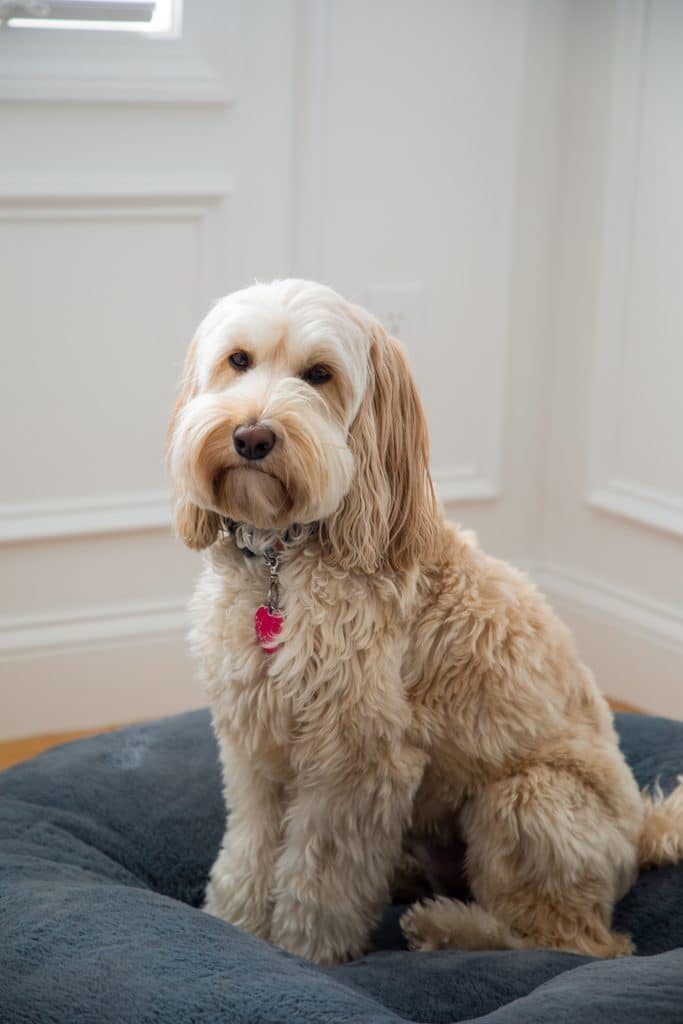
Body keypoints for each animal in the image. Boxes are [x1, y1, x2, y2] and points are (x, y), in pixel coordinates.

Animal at [167, 276, 683, 962]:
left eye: (320, 374)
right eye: (239, 360)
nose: (252, 437)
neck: (284, 559)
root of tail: (641, 832)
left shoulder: (355, 763)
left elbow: (318, 880)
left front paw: (304, 955)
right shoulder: (255, 742)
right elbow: (248, 851)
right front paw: (236, 927)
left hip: (525, 799)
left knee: (577, 942)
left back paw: (447, 927)